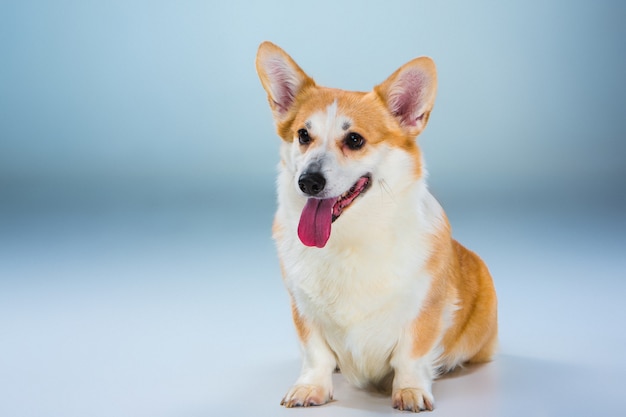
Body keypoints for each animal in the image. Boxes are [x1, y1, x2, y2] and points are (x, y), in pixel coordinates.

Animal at [255, 40, 498, 412]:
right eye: (303, 135)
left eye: (355, 140)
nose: (308, 181)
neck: (347, 238)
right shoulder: (303, 309)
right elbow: (315, 354)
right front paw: (310, 388)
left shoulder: (423, 309)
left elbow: (410, 355)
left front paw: (410, 391)